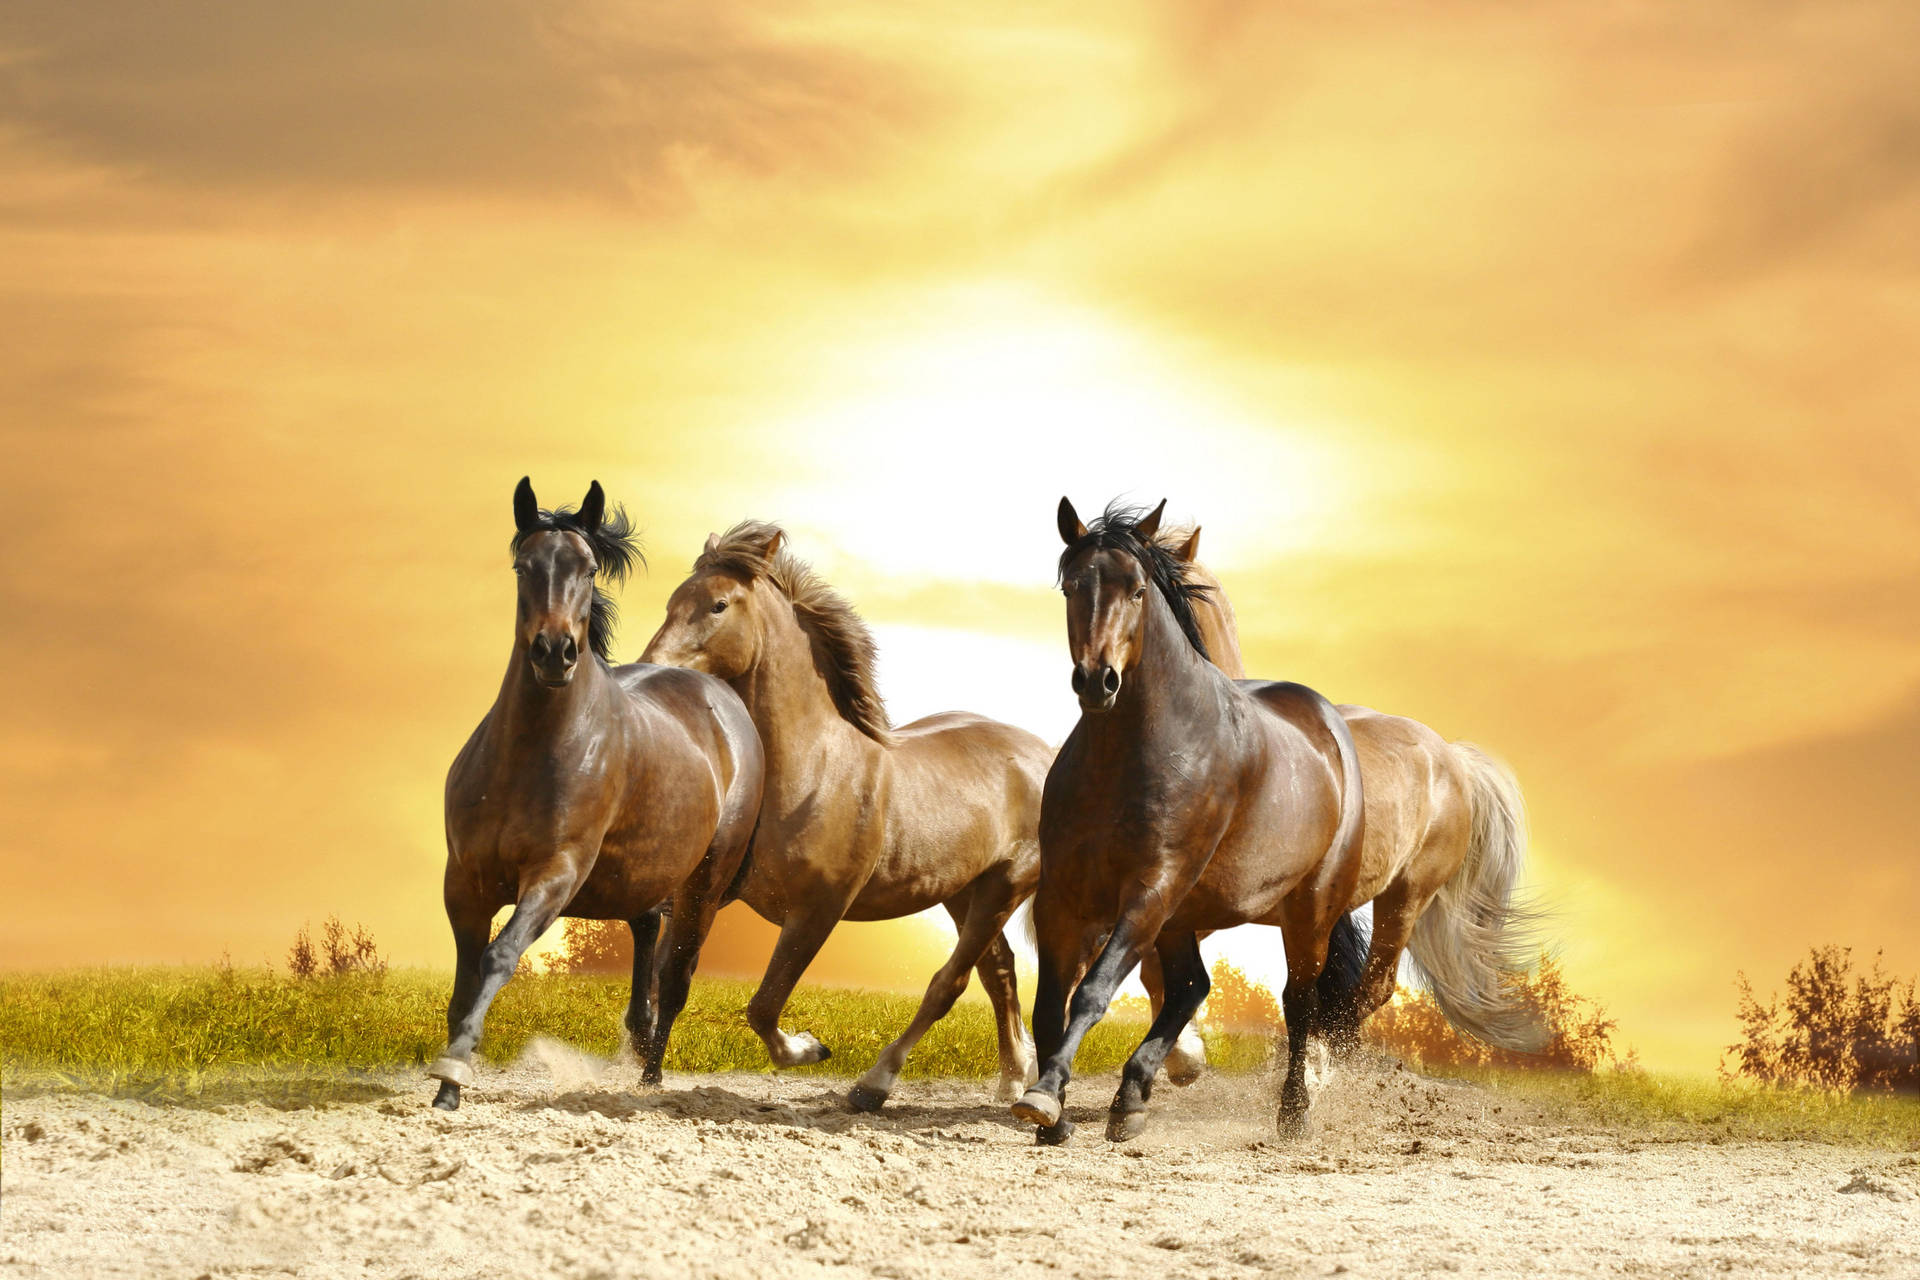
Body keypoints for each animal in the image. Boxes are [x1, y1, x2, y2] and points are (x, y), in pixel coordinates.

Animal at [428, 479, 764, 1113]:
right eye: (524, 565)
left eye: (586, 569)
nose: (555, 652)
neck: (529, 755)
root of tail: (722, 698)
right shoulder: (464, 881)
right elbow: (463, 981)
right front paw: (446, 1078)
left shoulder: (556, 873)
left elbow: (498, 957)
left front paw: (453, 1072)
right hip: (641, 873)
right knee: (646, 938)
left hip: (703, 884)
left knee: (676, 978)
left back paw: (651, 1079)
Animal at [641, 521, 1052, 1113]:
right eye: (673, 600)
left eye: (718, 604)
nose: (653, 668)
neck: (812, 768)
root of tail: (1043, 754)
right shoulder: (705, 892)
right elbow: (671, 979)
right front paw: (643, 1074)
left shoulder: (819, 910)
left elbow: (763, 1006)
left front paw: (810, 1048)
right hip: (963, 893)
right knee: (999, 973)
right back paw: (1014, 1077)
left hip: (1004, 887)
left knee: (949, 984)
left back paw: (873, 1085)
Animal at [1013, 495, 1374, 1143]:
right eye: (1072, 586)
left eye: (1136, 590)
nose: (1097, 680)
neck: (1129, 755)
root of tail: (1329, 724)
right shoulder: (1063, 895)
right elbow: (1051, 1003)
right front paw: (1054, 1113)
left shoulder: (1149, 888)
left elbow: (1093, 993)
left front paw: (1045, 1096)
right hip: (1184, 913)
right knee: (1192, 986)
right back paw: (1131, 1098)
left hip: (1306, 911)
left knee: (1297, 1001)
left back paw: (1292, 1115)